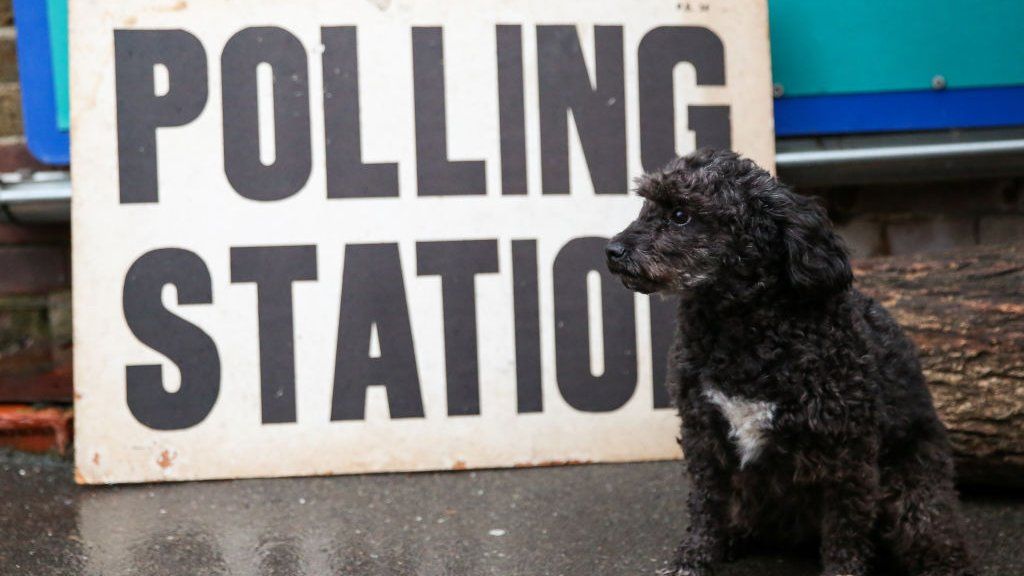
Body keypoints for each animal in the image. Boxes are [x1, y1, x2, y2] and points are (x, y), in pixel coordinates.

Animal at [606, 148, 974, 573]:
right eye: (646, 205)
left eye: (681, 214)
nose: (611, 251)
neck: (742, 333)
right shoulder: (704, 435)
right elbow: (705, 507)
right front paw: (695, 558)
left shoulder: (847, 450)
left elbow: (845, 529)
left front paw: (843, 569)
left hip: (913, 494)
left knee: (937, 536)